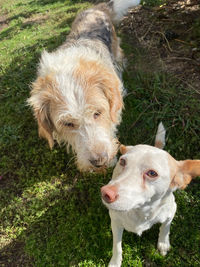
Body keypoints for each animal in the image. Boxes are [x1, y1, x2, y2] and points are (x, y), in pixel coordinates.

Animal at [101, 124, 200, 267]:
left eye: (152, 173)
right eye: (122, 161)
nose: (105, 192)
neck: (141, 212)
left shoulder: (172, 210)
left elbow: (165, 227)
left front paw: (163, 243)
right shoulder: (115, 222)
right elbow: (117, 247)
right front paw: (115, 262)